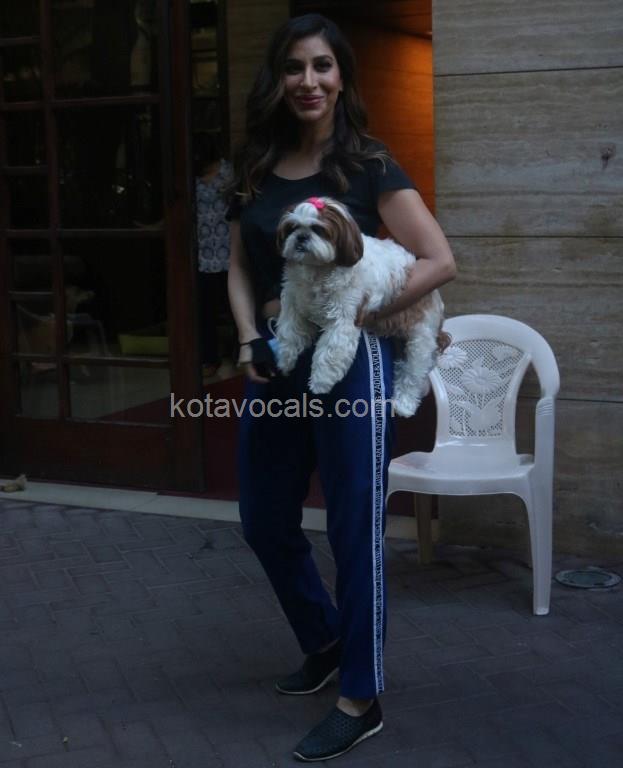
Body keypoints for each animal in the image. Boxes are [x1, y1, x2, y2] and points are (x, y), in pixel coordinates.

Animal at [275, 196, 447, 417]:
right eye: (292, 228)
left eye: (319, 229)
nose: (301, 237)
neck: (318, 270)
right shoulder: (294, 302)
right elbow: (289, 331)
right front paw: (285, 360)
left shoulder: (344, 318)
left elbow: (330, 352)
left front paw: (320, 382)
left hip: (421, 336)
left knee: (413, 372)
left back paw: (404, 404)